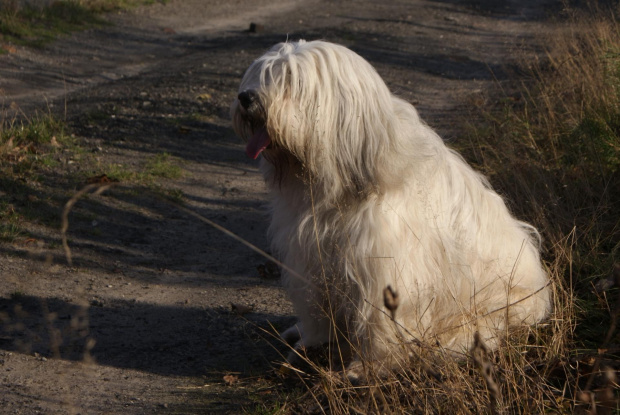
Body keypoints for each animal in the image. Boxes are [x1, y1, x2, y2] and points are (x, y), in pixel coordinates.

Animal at [230, 40, 548, 372]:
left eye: (291, 81)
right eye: (262, 74)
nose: (245, 97)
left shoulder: (383, 266)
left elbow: (378, 320)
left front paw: (367, 368)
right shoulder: (311, 257)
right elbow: (318, 307)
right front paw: (314, 343)